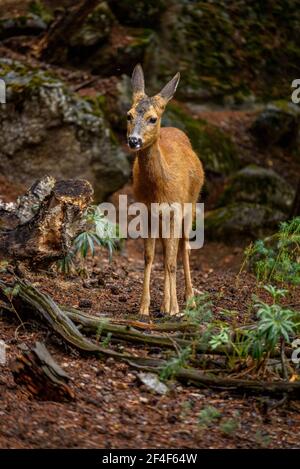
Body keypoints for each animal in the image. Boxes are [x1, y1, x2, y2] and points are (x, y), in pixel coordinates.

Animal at [126, 65, 204, 314]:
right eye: (129, 115)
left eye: (152, 118)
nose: (134, 140)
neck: (160, 189)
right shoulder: (146, 211)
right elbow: (149, 256)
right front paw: (144, 307)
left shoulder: (176, 209)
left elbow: (171, 260)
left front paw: (174, 309)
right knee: (167, 249)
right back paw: (164, 304)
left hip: (191, 205)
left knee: (184, 249)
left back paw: (189, 299)